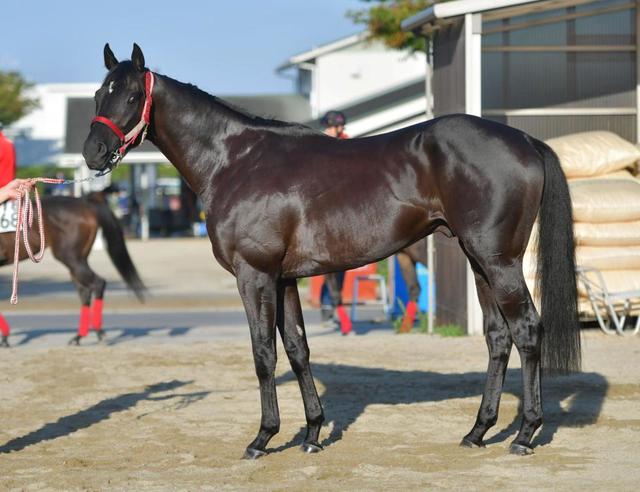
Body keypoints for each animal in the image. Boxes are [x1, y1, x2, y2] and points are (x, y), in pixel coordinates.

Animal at [0, 190, 146, 347]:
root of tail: (85, 202)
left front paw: (5, 337)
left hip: (70, 258)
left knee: (97, 283)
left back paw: (98, 332)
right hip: (78, 260)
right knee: (85, 291)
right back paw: (80, 335)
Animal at [82, 43, 581, 458]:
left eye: (131, 96)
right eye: (99, 93)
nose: (93, 152)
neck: (236, 160)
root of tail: (524, 141)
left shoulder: (254, 275)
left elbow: (263, 354)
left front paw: (263, 438)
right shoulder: (283, 279)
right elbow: (297, 349)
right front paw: (312, 433)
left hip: (500, 263)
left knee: (527, 331)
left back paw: (525, 434)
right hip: (479, 261)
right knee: (498, 337)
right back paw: (478, 431)